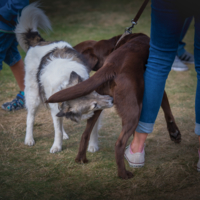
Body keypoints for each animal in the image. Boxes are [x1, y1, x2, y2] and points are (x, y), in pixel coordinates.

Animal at [14, 2, 113, 153]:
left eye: (95, 93)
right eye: (94, 104)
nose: (111, 99)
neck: (66, 82)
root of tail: (39, 42)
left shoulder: (93, 112)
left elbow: (93, 130)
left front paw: (92, 146)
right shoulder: (58, 106)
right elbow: (57, 130)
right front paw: (57, 146)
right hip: (33, 95)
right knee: (30, 117)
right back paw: (29, 139)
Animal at [47, 33, 181, 179]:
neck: (115, 44)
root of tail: (112, 66)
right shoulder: (157, 88)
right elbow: (167, 109)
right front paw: (174, 133)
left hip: (99, 104)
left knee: (85, 134)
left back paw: (81, 159)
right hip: (134, 112)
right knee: (119, 144)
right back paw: (123, 174)